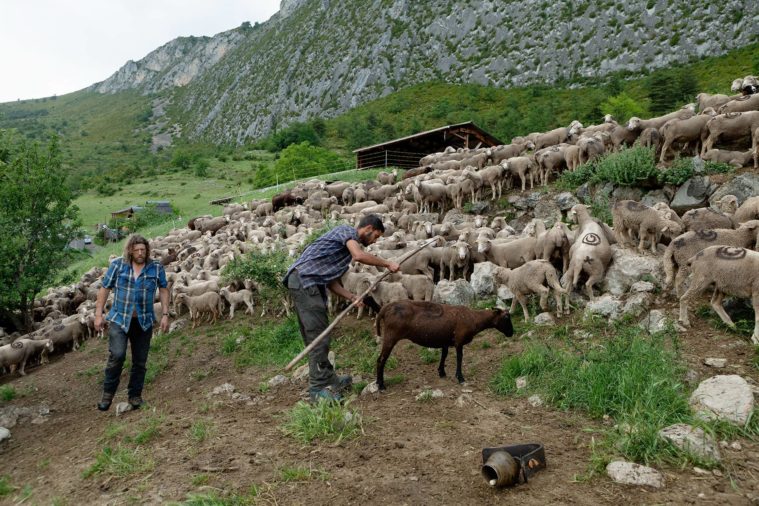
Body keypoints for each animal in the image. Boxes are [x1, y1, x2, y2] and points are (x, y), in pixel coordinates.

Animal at [376, 302, 512, 390]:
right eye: (506, 317)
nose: (512, 333)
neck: (475, 318)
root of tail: (385, 309)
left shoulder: (445, 340)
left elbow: (444, 355)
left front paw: (442, 372)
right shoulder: (459, 340)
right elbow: (459, 358)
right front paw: (460, 378)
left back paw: (379, 382)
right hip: (390, 336)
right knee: (381, 359)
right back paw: (381, 385)